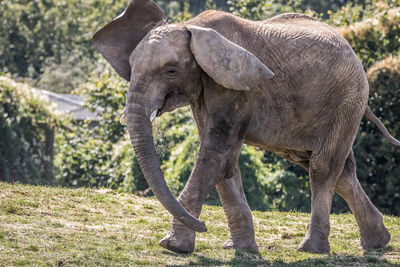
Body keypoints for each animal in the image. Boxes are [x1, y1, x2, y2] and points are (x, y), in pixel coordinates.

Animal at [92, 0, 398, 255]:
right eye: (131, 67)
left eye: (171, 71)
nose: (204, 226)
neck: (194, 27)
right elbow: (226, 163)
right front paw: (239, 249)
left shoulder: (236, 87)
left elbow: (214, 157)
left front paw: (173, 246)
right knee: (338, 170)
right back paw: (377, 242)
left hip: (347, 98)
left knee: (322, 168)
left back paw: (312, 249)